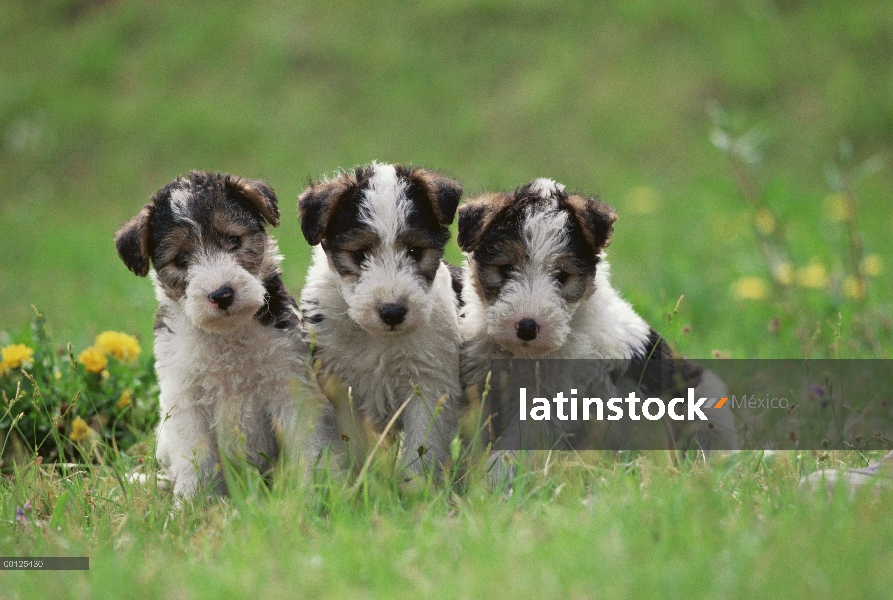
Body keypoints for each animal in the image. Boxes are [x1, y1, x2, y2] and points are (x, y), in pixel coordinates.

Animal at [115, 171, 330, 500]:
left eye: (233, 240)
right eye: (181, 260)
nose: (222, 295)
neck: (227, 337)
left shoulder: (291, 389)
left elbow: (308, 450)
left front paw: (314, 497)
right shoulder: (187, 403)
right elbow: (197, 461)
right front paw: (190, 505)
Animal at [300, 162, 464, 480]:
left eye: (414, 251)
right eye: (359, 253)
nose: (393, 312)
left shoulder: (429, 385)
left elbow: (421, 447)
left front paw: (415, 488)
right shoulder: (339, 388)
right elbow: (352, 444)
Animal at [456, 179, 736, 460]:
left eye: (562, 275)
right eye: (505, 268)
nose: (526, 328)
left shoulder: (547, 397)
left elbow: (514, 447)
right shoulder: (480, 385)